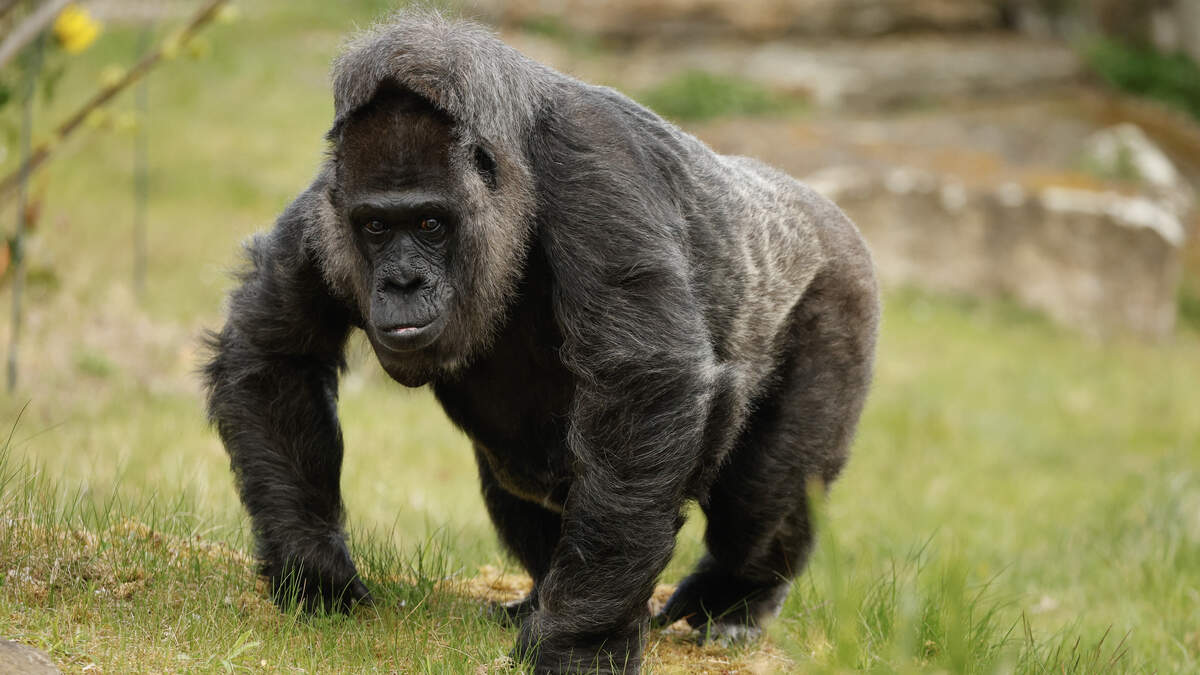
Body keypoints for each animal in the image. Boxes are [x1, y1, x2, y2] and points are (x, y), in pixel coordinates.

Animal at [203, 11, 879, 674]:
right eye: (374, 225)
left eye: (429, 223)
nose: (401, 282)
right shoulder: (327, 205)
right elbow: (275, 353)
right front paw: (315, 570)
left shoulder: (592, 167)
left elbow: (644, 384)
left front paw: (582, 646)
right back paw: (541, 594)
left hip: (840, 290)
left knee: (761, 497)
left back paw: (737, 601)